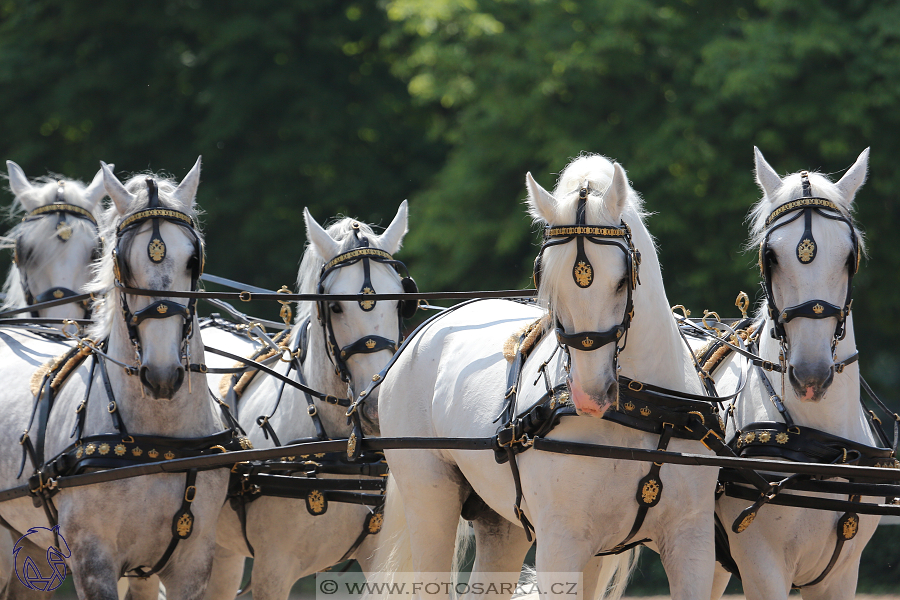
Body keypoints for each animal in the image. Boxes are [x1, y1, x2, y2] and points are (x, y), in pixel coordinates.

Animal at [370, 156, 720, 600]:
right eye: (550, 287)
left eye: (622, 281)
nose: (590, 396)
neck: (642, 412)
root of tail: (429, 327)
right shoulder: (561, 543)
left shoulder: (691, 540)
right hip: (430, 501)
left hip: (503, 522)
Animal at [708, 146, 884, 600]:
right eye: (770, 256)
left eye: (850, 256)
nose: (810, 374)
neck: (823, 444)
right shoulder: (762, 567)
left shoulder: (841, 574)